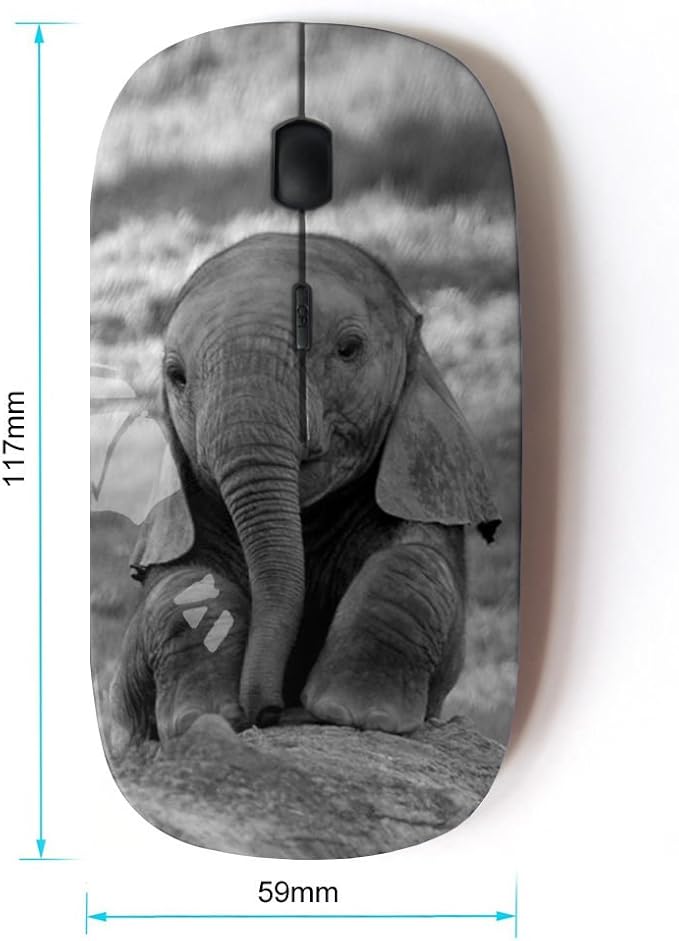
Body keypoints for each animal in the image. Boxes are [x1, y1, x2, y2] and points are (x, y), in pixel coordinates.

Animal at [109, 232, 500, 747]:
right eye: (177, 376)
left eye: (349, 349)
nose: (270, 710)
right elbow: (178, 587)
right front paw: (200, 720)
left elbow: (413, 566)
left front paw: (353, 713)